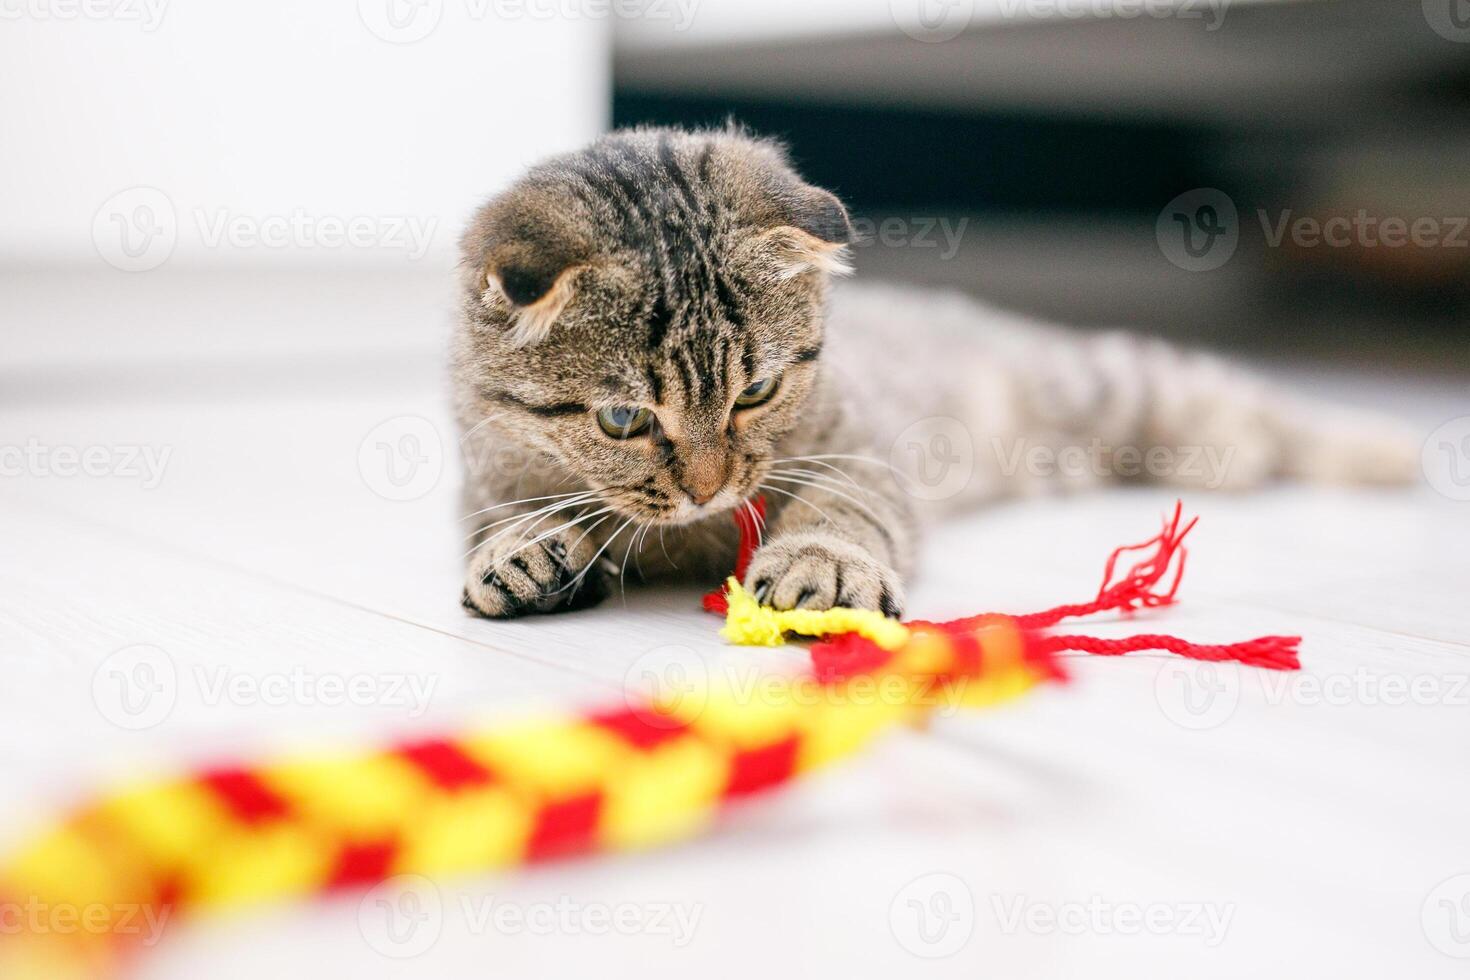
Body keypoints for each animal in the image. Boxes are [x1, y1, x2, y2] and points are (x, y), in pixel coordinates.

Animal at [452, 126, 1417, 620]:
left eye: (756, 391)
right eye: (622, 420)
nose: (707, 490)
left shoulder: (864, 454)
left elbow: (840, 509)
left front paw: (823, 563)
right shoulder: (485, 476)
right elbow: (503, 518)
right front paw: (521, 548)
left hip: (1113, 381)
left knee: (1262, 407)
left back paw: (1380, 450)